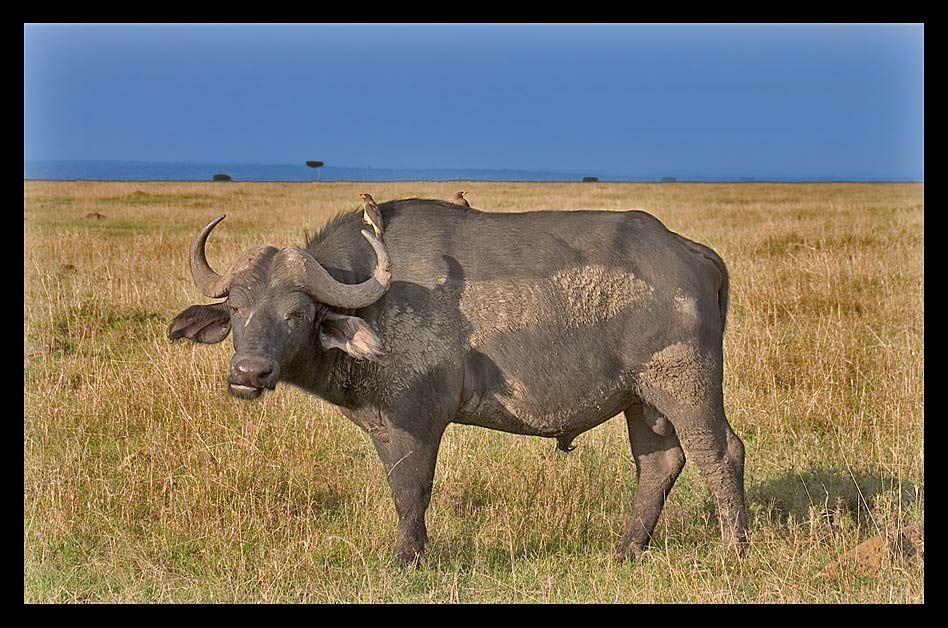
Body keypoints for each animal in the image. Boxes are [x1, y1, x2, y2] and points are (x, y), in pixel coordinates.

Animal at [170, 199, 748, 560]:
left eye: (296, 313)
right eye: (237, 307)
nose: (249, 372)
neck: (376, 300)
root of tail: (690, 252)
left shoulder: (417, 421)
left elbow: (412, 490)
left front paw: (407, 558)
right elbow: (402, 490)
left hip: (685, 386)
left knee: (721, 452)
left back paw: (735, 547)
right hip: (640, 399)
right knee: (659, 463)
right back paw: (628, 549)